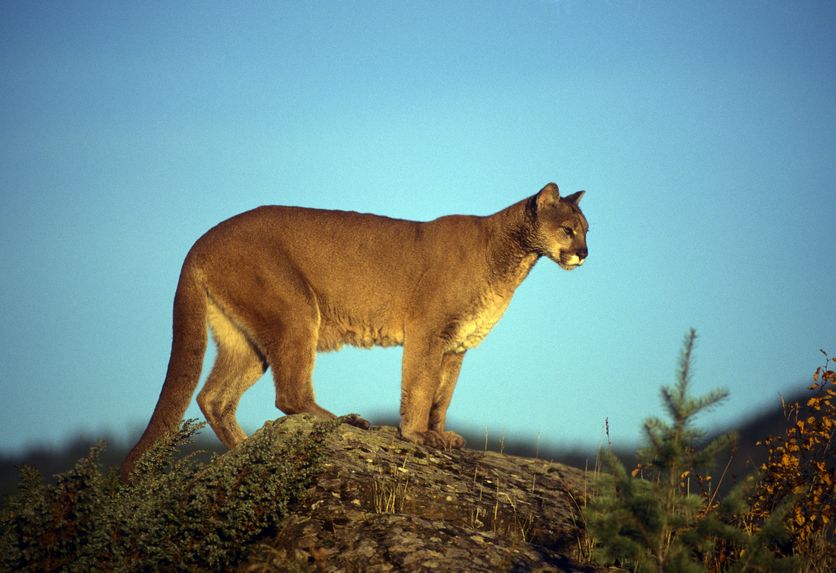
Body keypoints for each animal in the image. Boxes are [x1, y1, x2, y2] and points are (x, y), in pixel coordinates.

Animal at [119, 183, 588, 478]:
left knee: (213, 397)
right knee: (288, 395)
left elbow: (443, 395)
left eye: (587, 229)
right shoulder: (428, 331)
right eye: (568, 229)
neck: (513, 258)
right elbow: (420, 387)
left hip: (247, 341)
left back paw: (243, 448)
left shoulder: (457, 346)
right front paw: (416, 435)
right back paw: (344, 420)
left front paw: (440, 434)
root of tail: (200, 241)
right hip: (295, 311)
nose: (585, 253)